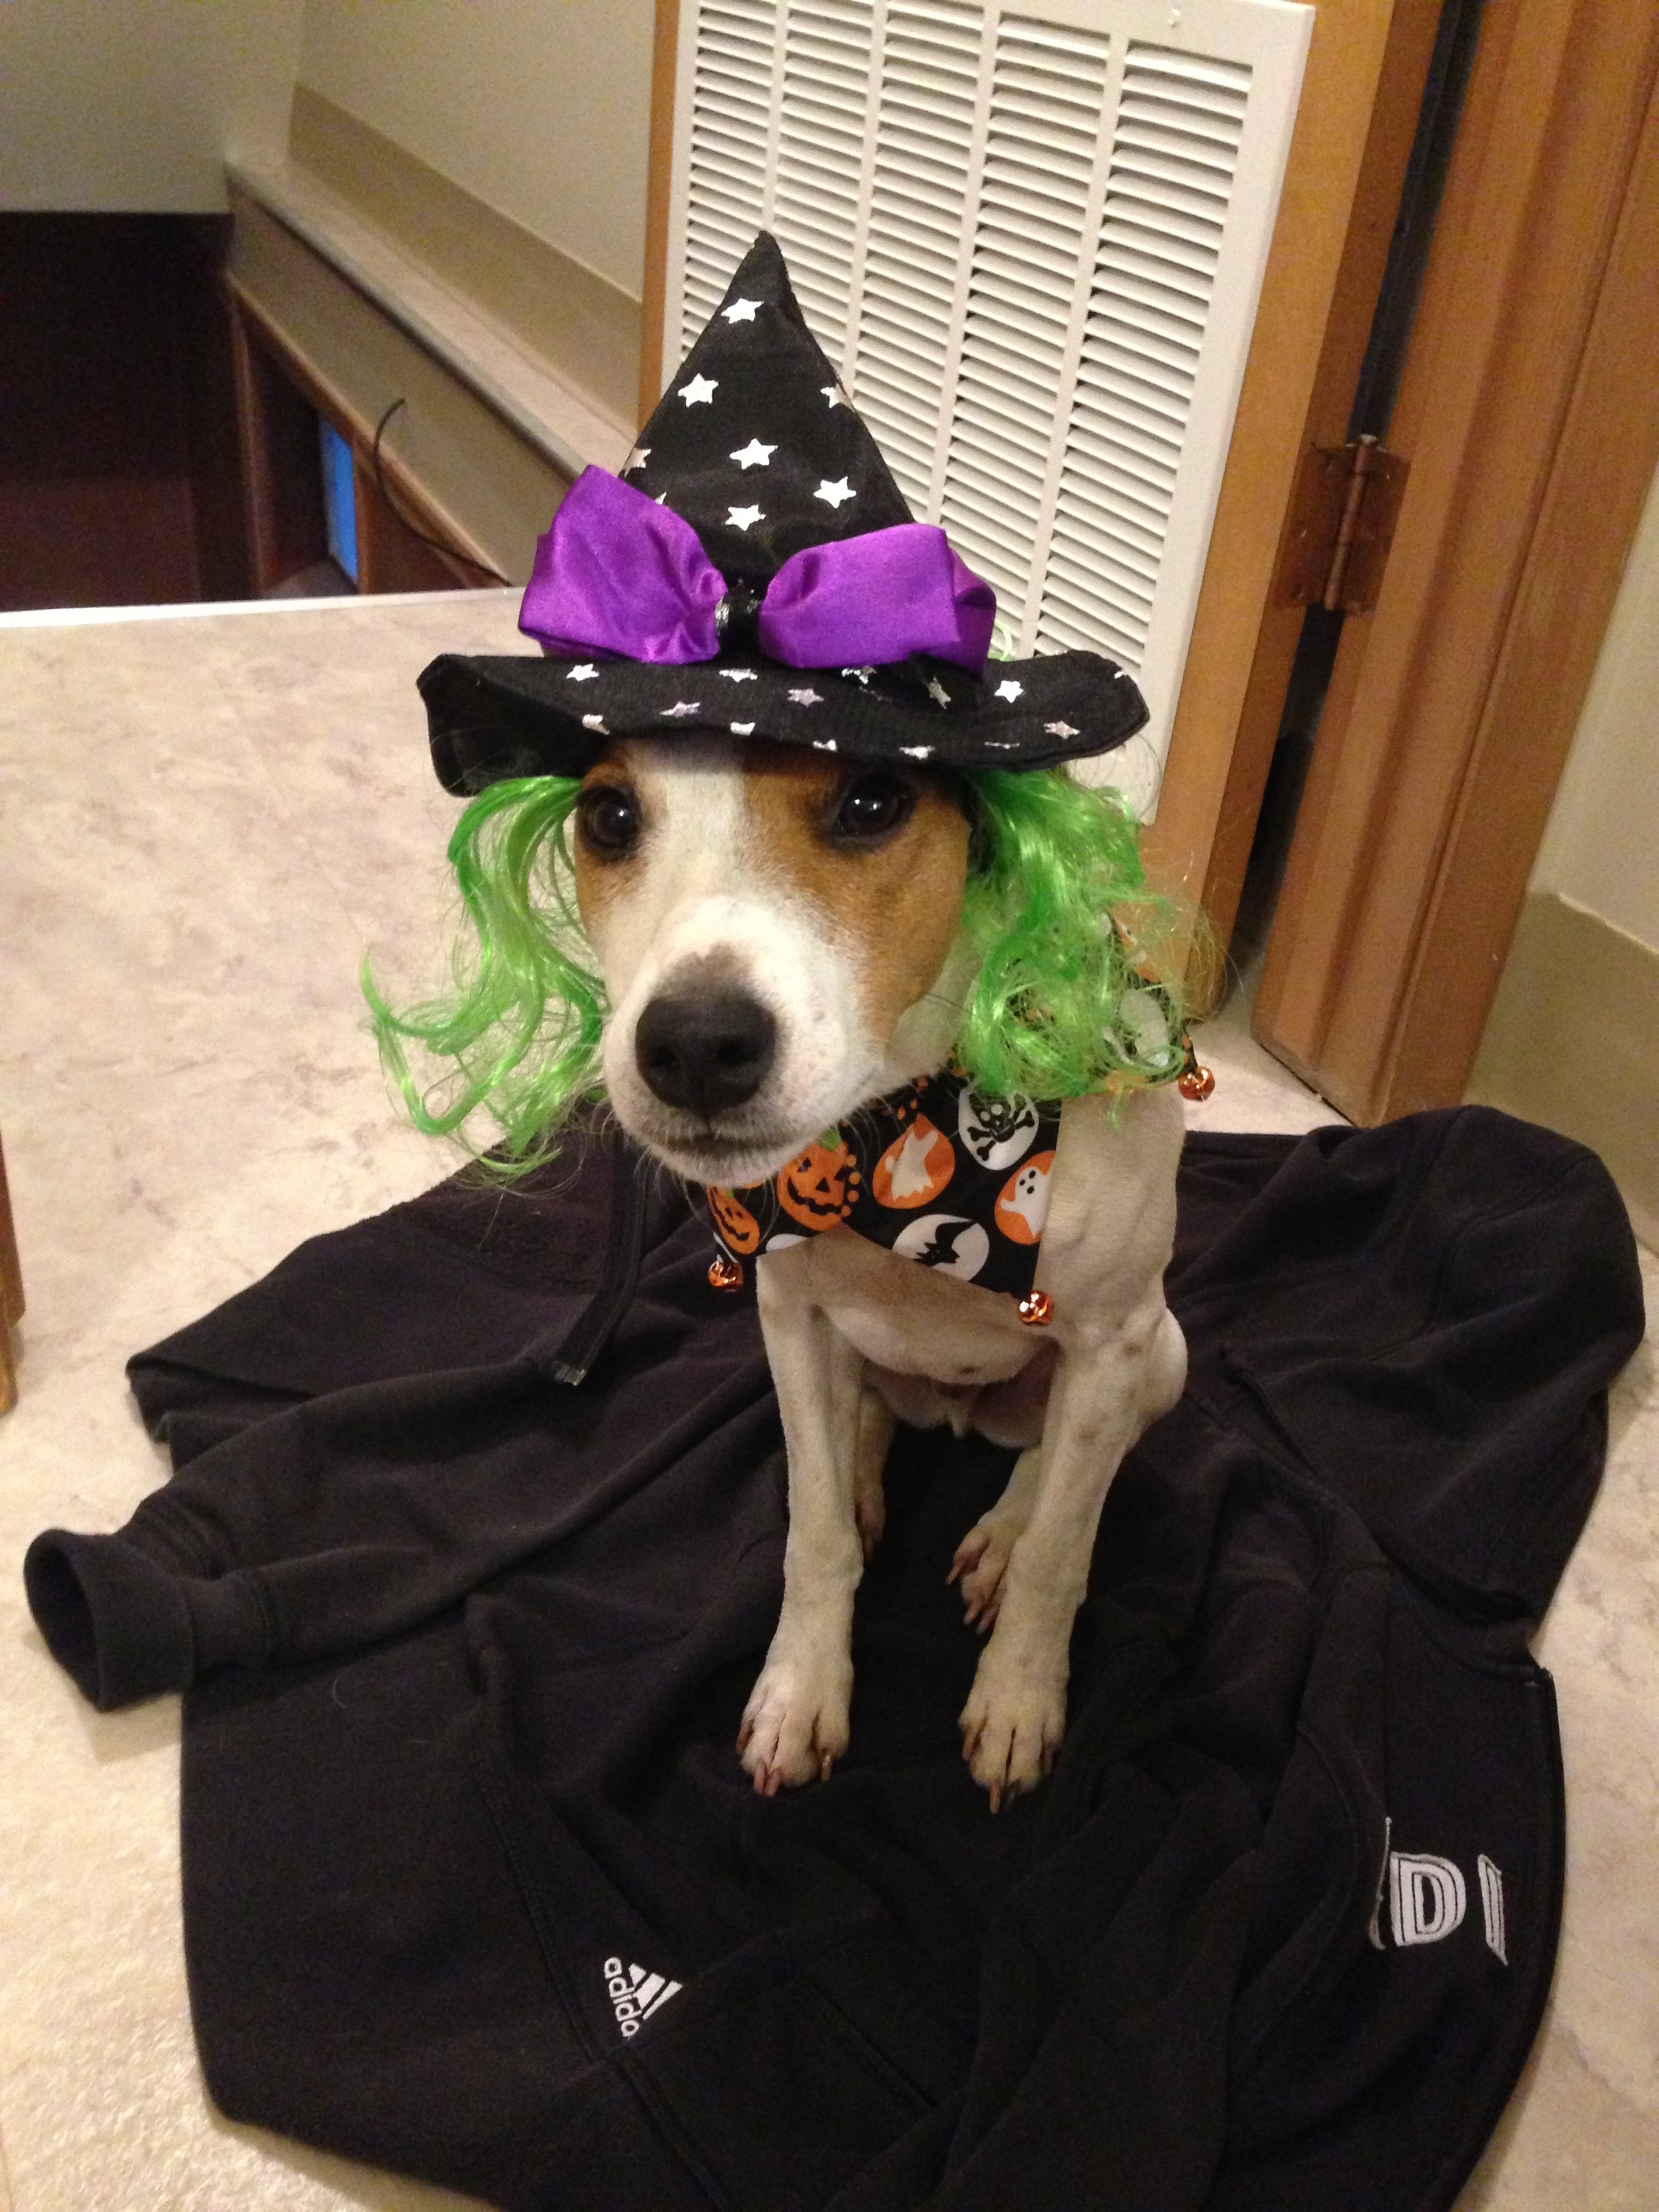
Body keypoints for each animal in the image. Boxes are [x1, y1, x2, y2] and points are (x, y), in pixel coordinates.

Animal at [571, 734, 1194, 1805]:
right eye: (609, 817)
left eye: (871, 801)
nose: (694, 1045)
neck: (905, 1121)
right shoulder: (788, 1315)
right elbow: (813, 1532)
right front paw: (800, 1692)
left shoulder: (1113, 1342)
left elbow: (1061, 1556)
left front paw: (1018, 1700)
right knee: (859, 1424)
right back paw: (867, 1475)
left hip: (1164, 1355)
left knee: (1058, 1462)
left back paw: (1003, 1533)